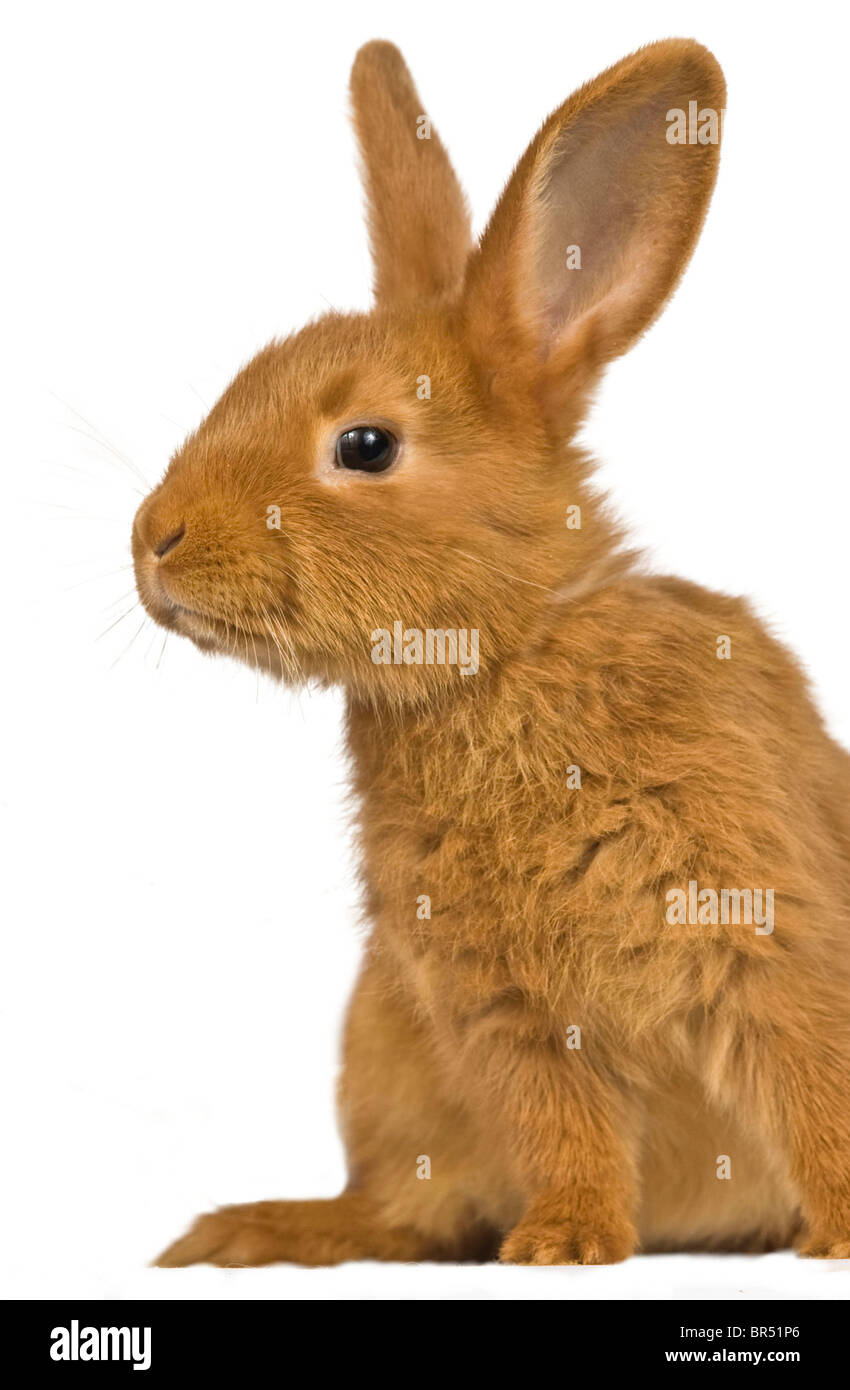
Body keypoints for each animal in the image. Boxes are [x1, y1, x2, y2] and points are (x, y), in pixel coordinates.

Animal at [132, 38, 850, 1267]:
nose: (152, 539)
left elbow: (812, 1085)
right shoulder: (499, 1006)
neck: (504, 656)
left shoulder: (767, 935)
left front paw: (844, 1233)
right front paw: (562, 1244)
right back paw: (246, 1233)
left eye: (366, 445)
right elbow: (560, 1127)